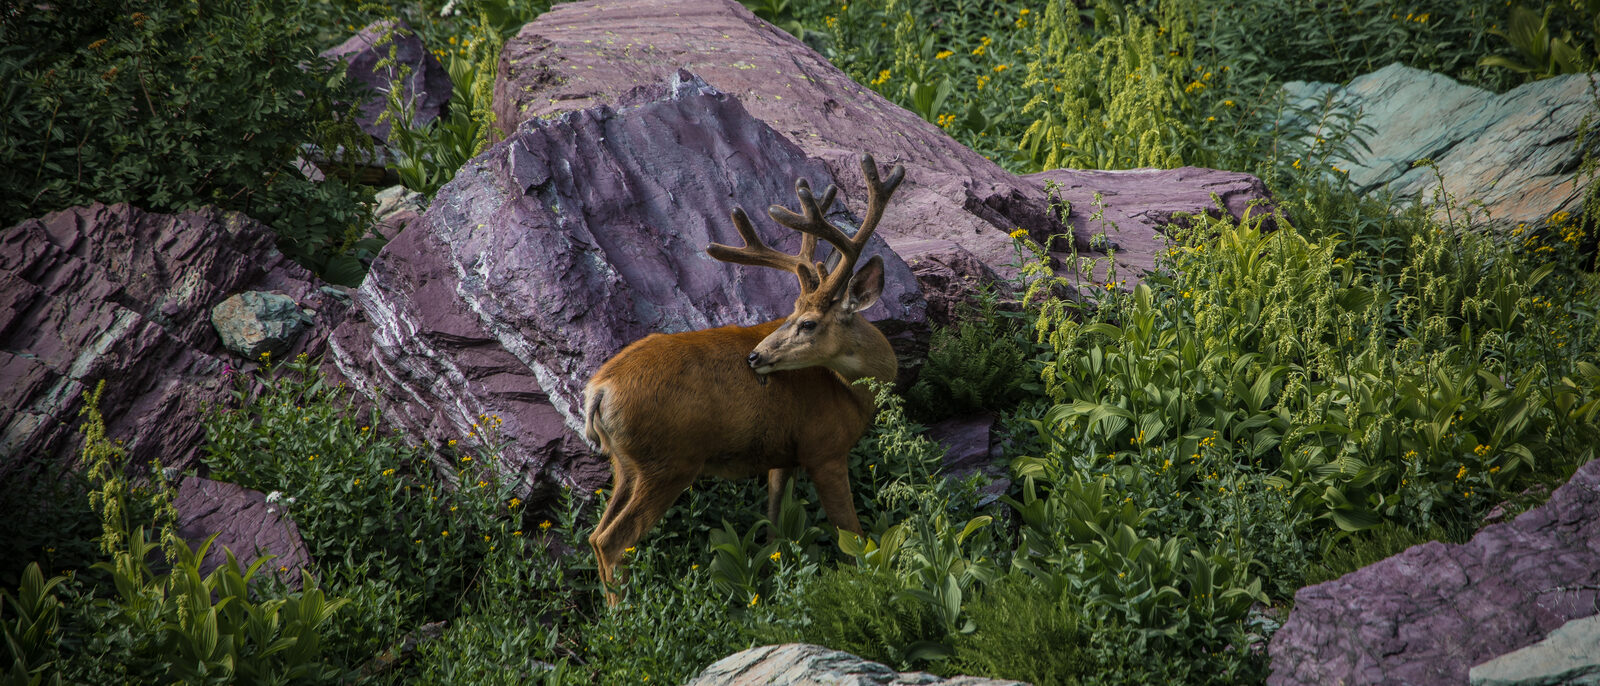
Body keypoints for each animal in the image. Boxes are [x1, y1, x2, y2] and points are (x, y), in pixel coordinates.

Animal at [582, 153, 905, 604]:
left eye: (805, 321)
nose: (755, 356)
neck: (852, 392)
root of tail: (598, 390)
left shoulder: (782, 454)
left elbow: (773, 527)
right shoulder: (824, 448)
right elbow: (853, 536)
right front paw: (873, 584)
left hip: (625, 463)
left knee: (595, 535)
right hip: (668, 462)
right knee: (613, 541)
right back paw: (623, 613)